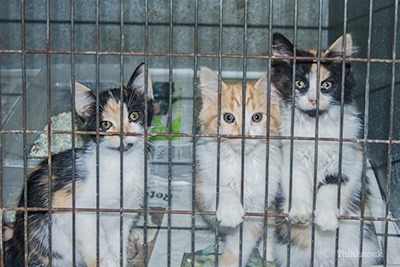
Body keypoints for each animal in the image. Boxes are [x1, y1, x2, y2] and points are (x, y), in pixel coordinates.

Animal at [5, 63, 155, 267]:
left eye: (134, 115)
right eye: (105, 124)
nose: (123, 135)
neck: (121, 164)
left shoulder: (124, 216)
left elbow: (118, 244)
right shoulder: (69, 205)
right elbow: (94, 242)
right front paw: (107, 262)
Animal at [197, 68, 282, 267]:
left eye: (257, 117)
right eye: (228, 118)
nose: (245, 134)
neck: (241, 161)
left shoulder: (258, 208)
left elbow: (240, 246)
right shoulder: (202, 185)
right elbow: (220, 188)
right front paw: (230, 208)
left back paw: (269, 248)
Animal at [270, 32, 382, 266]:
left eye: (327, 85)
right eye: (300, 83)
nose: (314, 99)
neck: (315, 128)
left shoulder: (350, 159)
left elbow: (332, 187)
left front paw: (327, 217)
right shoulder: (289, 156)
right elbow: (296, 182)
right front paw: (300, 210)